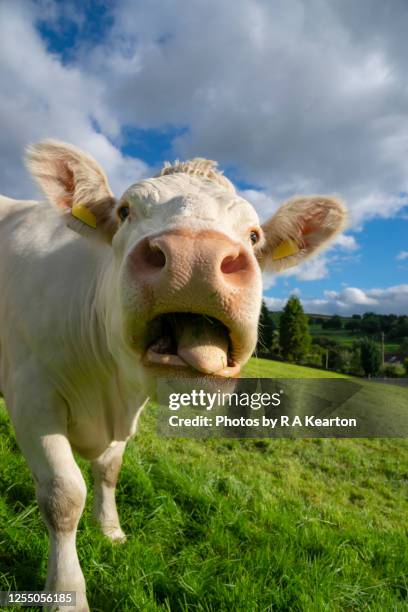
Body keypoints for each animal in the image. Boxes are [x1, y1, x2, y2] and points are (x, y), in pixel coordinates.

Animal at [0, 141, 346, 608]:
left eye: (254, 235)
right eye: (125, 211)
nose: (195, 257)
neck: (108, 391)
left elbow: (109, 470)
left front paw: (111, 530)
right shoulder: (32, 396)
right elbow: (63, 496)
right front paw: (67, 593)